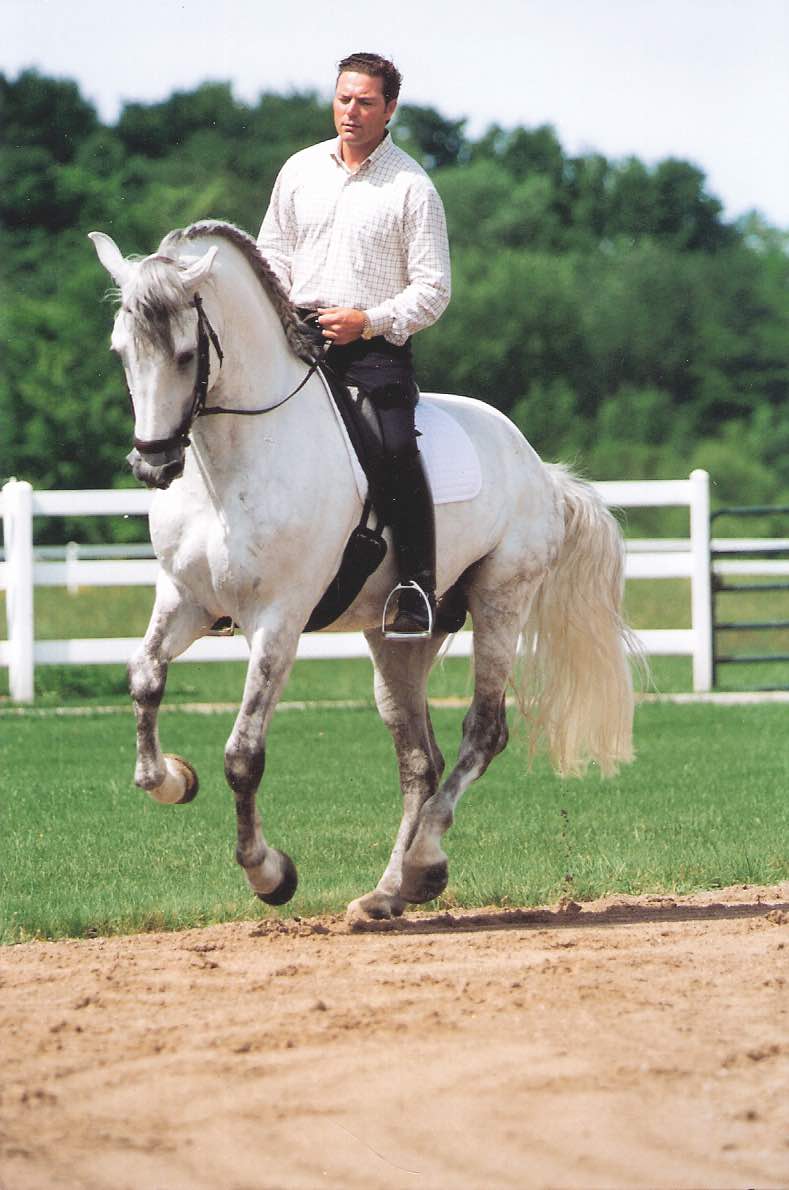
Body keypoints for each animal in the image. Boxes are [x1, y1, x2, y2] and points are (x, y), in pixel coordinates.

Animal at [89, 219, 637, 923]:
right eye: (120, 351)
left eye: (187, 354)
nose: (152, 465)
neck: (234, 467)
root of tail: (540, 468)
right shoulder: (185, 600)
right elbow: (145, 678)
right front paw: (172, 779)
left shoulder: (278, 620)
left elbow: (243, 754)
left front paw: (270, 874)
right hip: (398, 636)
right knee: (419, 759)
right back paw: (393, 889)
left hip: (501, 601)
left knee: (482, 733)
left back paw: (424, 860)